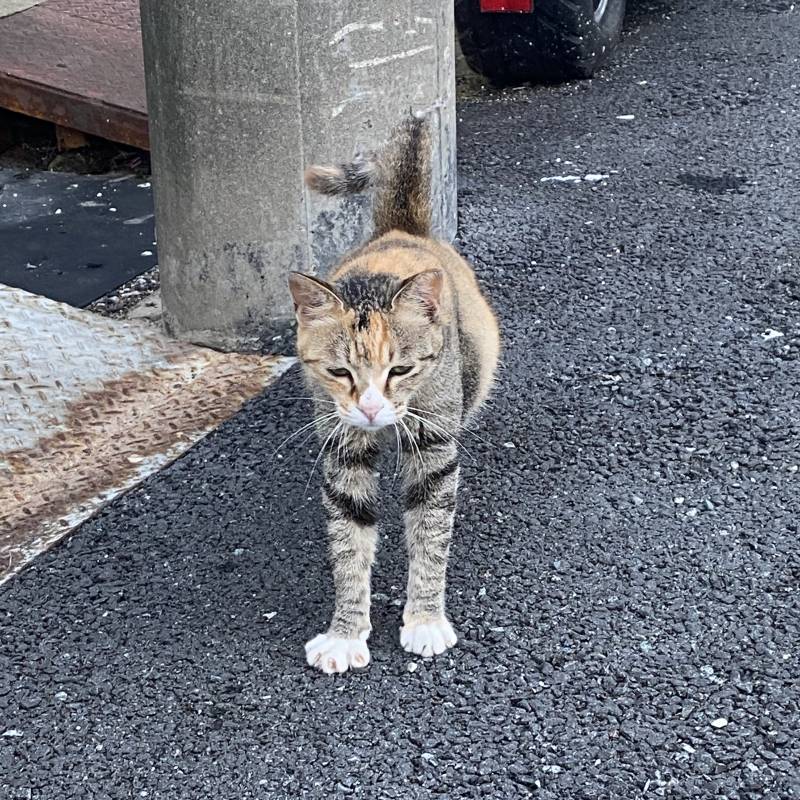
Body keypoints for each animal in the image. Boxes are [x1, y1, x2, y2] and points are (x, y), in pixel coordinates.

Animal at [288, 114, 500, 676]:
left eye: (400, 369)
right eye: (339, 372)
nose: (369, 407)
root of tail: (400, 230)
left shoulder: (434, 449)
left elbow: (429, 535)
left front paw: (425, 621)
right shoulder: (341, 448)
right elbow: (349, 542)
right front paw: (345, 634)